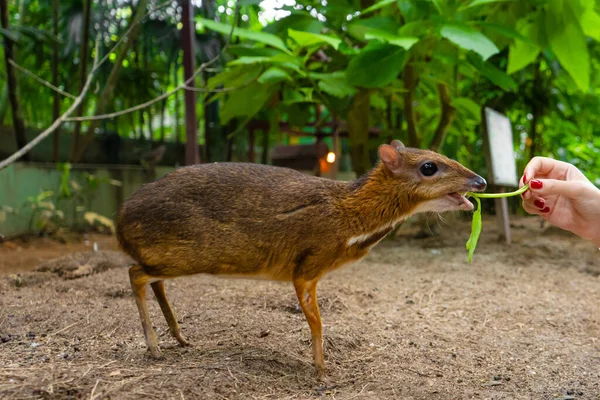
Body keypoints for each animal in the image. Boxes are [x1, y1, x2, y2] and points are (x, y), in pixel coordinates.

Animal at [117, 141, 488, 382]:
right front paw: (322, 373)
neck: (349, 218)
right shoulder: (306, 267)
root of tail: (120, 221)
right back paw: (154, 347)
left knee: (154, 281)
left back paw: (180, 337)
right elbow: (317, 323)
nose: (481, 181)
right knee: (136, 274)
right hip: (185, 254)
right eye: (429, 167)